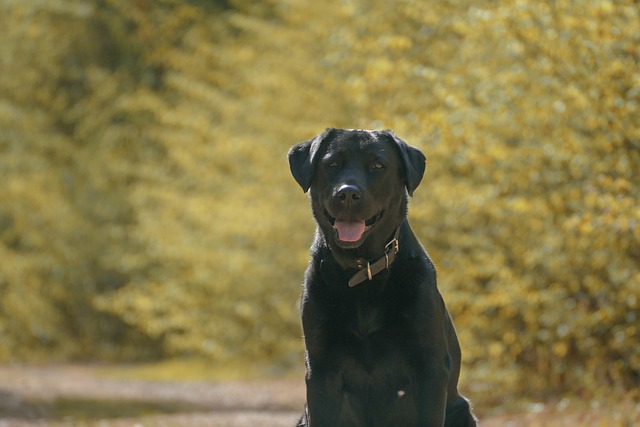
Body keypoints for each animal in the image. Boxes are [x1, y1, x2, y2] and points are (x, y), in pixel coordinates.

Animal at [288, 128, 476, 427]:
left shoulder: (429, 367)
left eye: (377, 166)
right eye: (332, 164)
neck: (362, 269)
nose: (348, 194)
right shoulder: (321, 370)